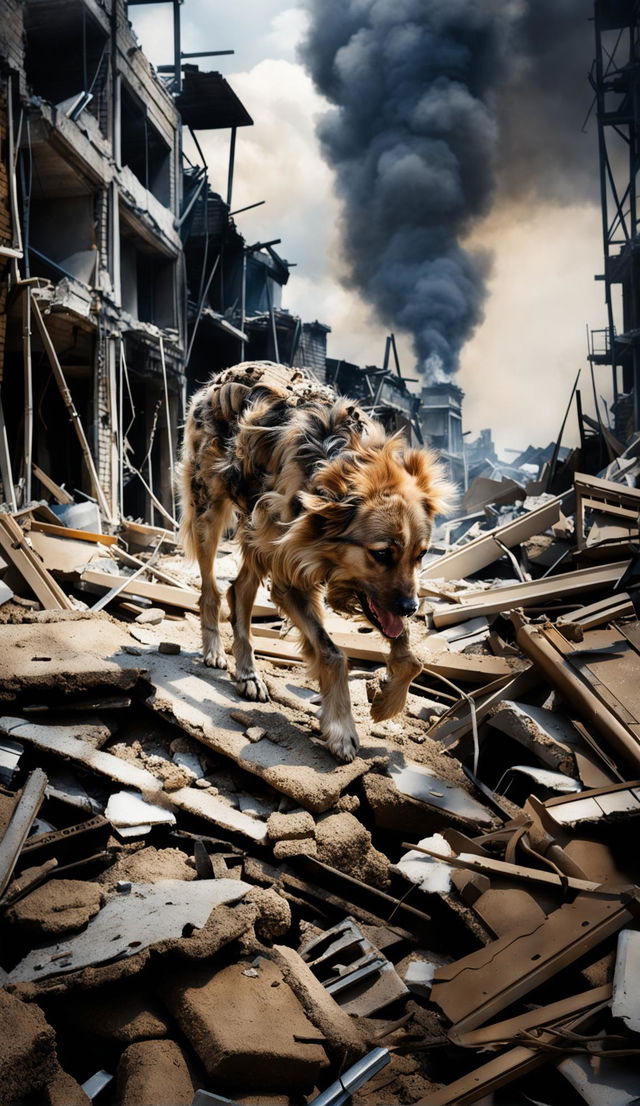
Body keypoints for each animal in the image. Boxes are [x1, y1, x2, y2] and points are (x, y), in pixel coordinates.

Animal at [179, 362, 450, 760]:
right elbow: (333, 653)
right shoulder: (290, 579)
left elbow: (410, 653)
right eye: (381, 554)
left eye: (421, 554)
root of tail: (223, 374)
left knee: (239, 591)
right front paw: (341, 727)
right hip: (211, 511)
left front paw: (388, 702)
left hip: (259, 528)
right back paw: (215, 650)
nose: (411, 607)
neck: (342, 462)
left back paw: (248, 673)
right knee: (211, 590)